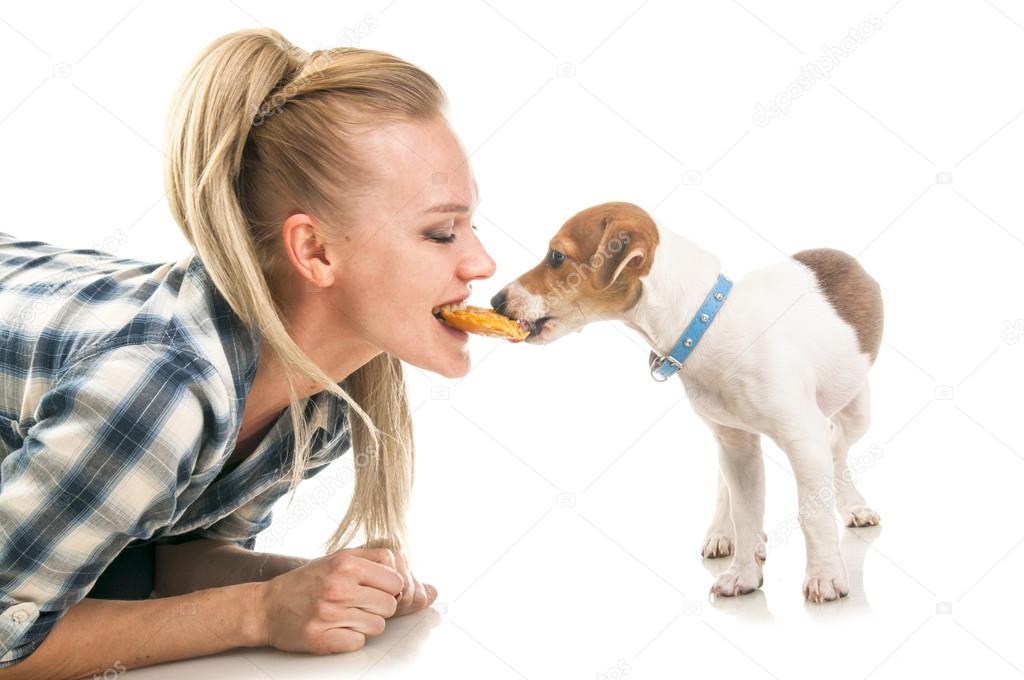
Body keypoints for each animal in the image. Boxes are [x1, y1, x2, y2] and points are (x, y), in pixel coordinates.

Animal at [491, 200, 884, 602]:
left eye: (556, 256)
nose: (495, 300)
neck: (705, 323)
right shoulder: (735, 443)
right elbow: (745, 512)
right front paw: (744, 572)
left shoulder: (803, 438)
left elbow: (812, 513)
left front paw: (825, 576)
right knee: (727, 486)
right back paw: (724, 533)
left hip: (856, 410)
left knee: (837, 448)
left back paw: (852, 505)